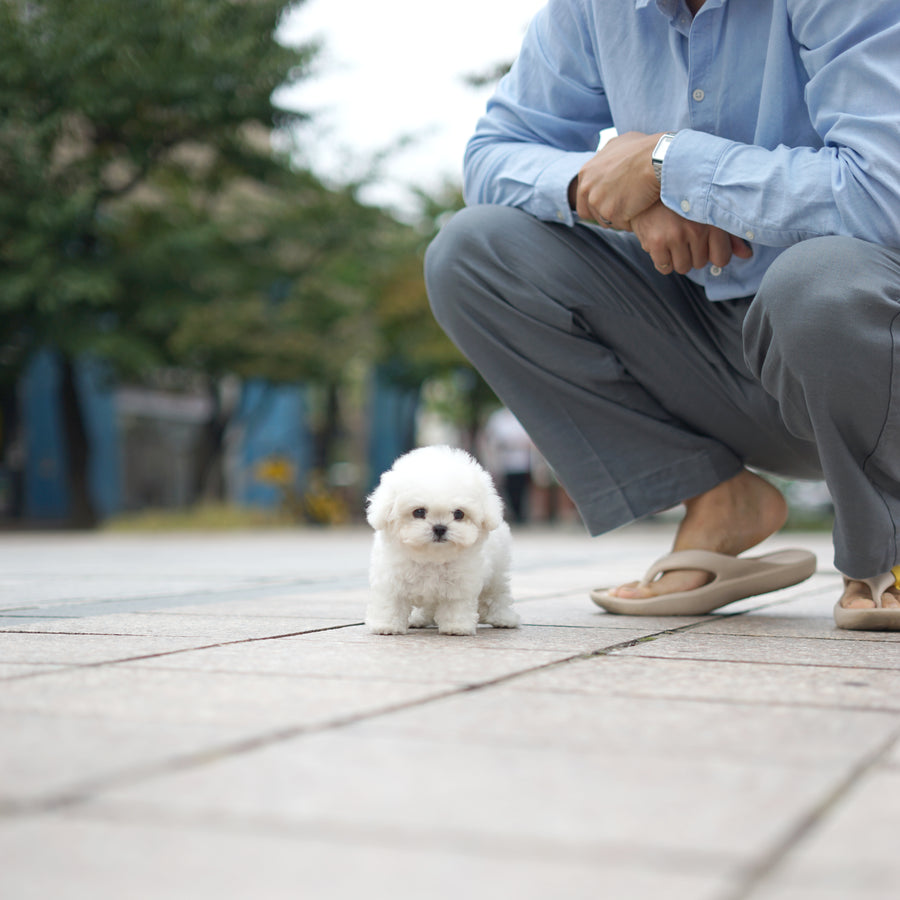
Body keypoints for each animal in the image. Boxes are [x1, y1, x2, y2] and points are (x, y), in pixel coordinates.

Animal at [366, 446, 520, 636]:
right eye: (419, 512)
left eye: (459, 513)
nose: (439, 528)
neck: (432, 558)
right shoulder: (391, 577)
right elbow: (391, 602)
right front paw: (386, 625)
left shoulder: (461, 581)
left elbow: (456, 603)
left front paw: (456, 626)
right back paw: (419, 619)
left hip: (498, 570)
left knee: (498, 594)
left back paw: (504, 618)